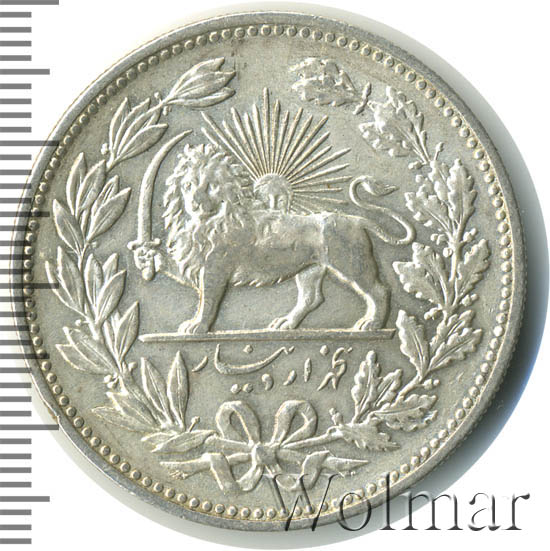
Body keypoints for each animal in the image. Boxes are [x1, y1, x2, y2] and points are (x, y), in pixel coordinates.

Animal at [134, 143, 414, 334]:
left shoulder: (215, 267)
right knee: (312, 298)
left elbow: (209, 300)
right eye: (189, 185)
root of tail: (356, 220)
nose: (194, 203)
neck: (206, 224)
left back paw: (371, 323)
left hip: (351, 264)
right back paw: (285, 323)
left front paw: (198, 326)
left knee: (380, 290)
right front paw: (148, 257)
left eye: (212, 186)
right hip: (310, 269)